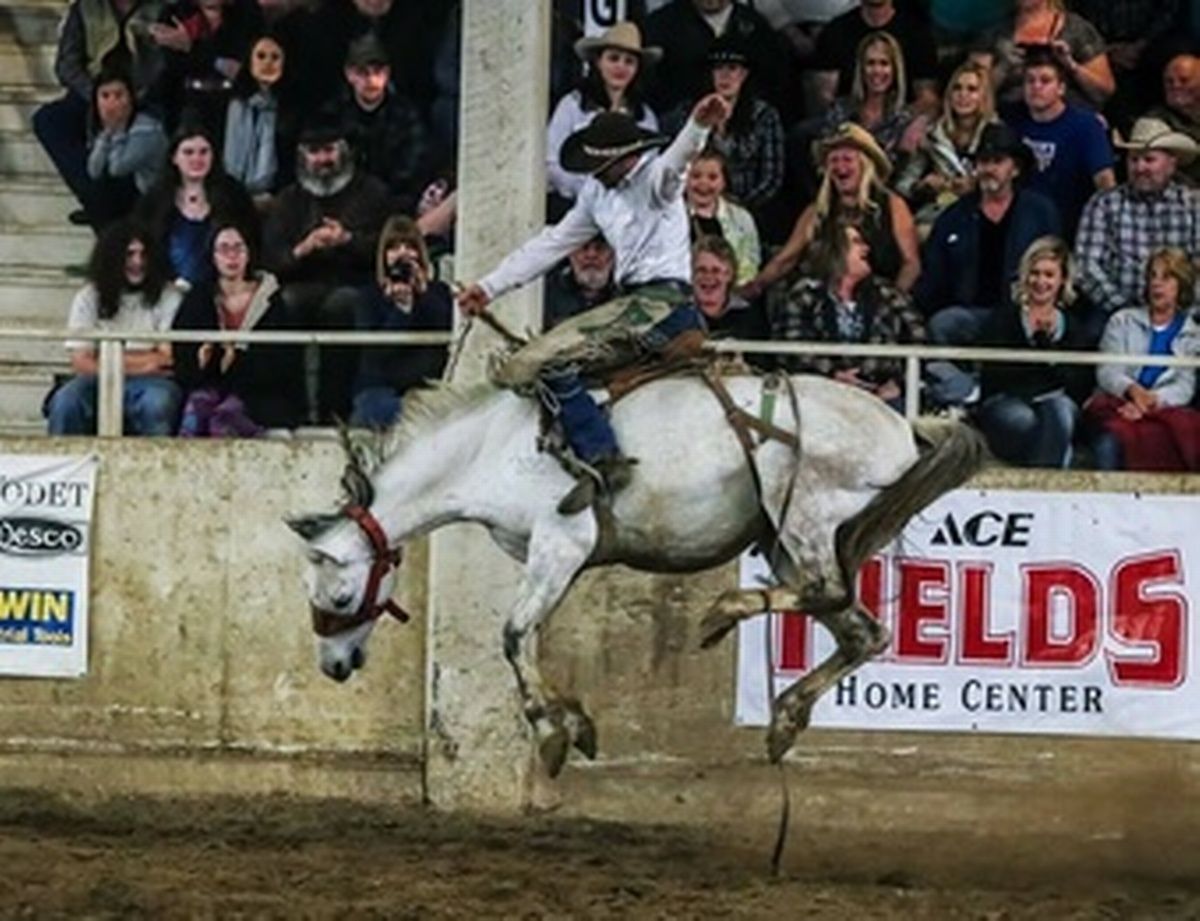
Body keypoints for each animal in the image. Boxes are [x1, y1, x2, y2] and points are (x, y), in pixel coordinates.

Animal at [288, 374, 984, 777]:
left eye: (342, 593)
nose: (335, 666)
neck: (491, 451)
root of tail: (903, 427)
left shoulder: (559, 544)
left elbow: (513, 635)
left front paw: (553, 732)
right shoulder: (560, 561)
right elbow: (531, 635)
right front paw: (577, 720)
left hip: (805, 514)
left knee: (830, 594)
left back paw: (724, 613)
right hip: (795, 540)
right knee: (862, 631)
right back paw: (784, 719)